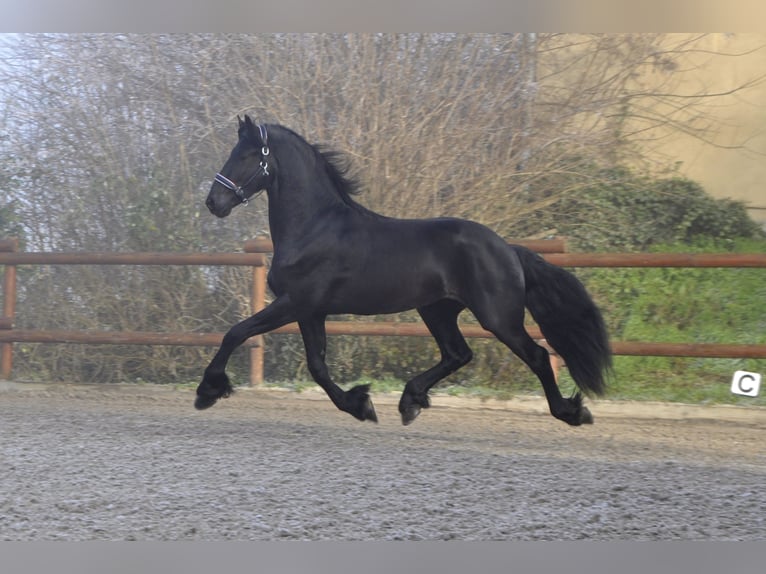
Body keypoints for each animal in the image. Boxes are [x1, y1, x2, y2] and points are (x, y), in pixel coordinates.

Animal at [196, 116, 612, 428]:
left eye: (248, 154)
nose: (214, 202)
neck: (314, 227)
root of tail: (508, 248)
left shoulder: (295, 303)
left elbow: (236, 333)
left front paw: (207, 391)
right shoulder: (312, 311)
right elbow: (317, 366)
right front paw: (360, 404)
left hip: (498, 317)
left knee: (536, 356)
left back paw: (571, 412)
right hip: (437, 310)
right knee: (458, 354)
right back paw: (410, 401)